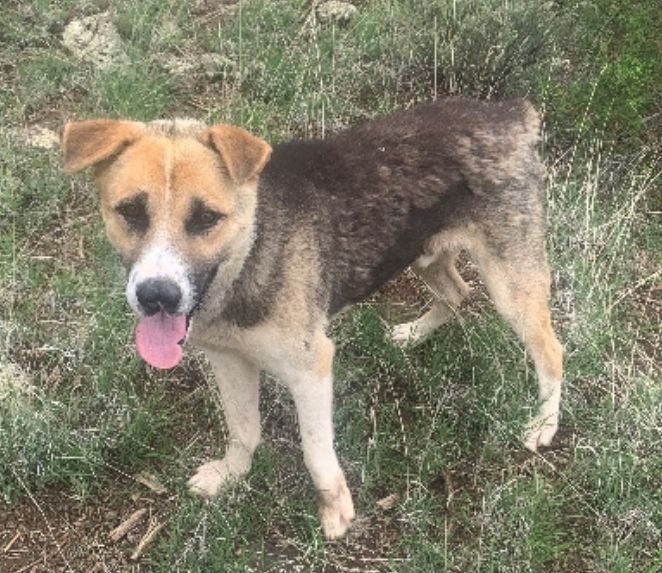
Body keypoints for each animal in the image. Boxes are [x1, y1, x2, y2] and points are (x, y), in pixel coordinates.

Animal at [63, 96, 564, 540]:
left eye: (205, 218)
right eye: (130, 211)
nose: (157, 296)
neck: (250, 252)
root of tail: (510, 113)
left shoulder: (311, 368)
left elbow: (316, 453)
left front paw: (336, 513)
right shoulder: (229, 360)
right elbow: (243, 429)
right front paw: (231, 474)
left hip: (511, 283)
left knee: (551, 351)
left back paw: (543, 424)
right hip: (424, 251)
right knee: (458, 294)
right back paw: (414, 333)